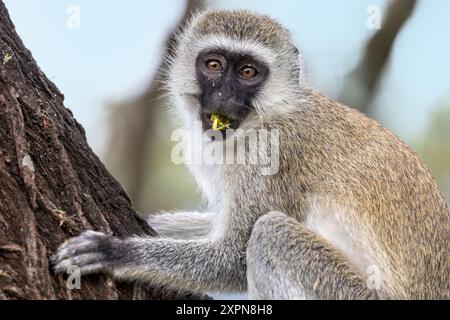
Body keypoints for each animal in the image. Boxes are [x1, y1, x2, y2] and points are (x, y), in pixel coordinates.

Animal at [53, 10, 450, 300]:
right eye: (214, 65)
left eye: (248, 72)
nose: (224, 95)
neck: (265, 119)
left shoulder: (272, 156)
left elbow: (232, 257)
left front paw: (116, 252)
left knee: (271, 233)